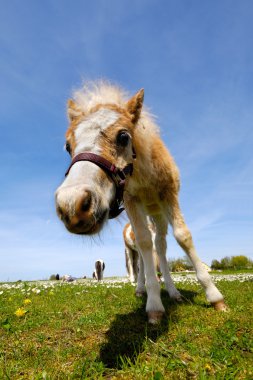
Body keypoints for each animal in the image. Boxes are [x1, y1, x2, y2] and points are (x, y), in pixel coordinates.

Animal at [55, 80, 227, 324]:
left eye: (123, 137)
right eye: (68, 146)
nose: (72, 205)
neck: (143, 174)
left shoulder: (168, 194)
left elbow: (183, 236)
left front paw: (215, 297)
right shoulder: (131, 200)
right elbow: (144, 243)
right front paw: (154, 306)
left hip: (158, 214)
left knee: (161, 247)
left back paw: (173, 292)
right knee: (145, 250)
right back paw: (141, 289)